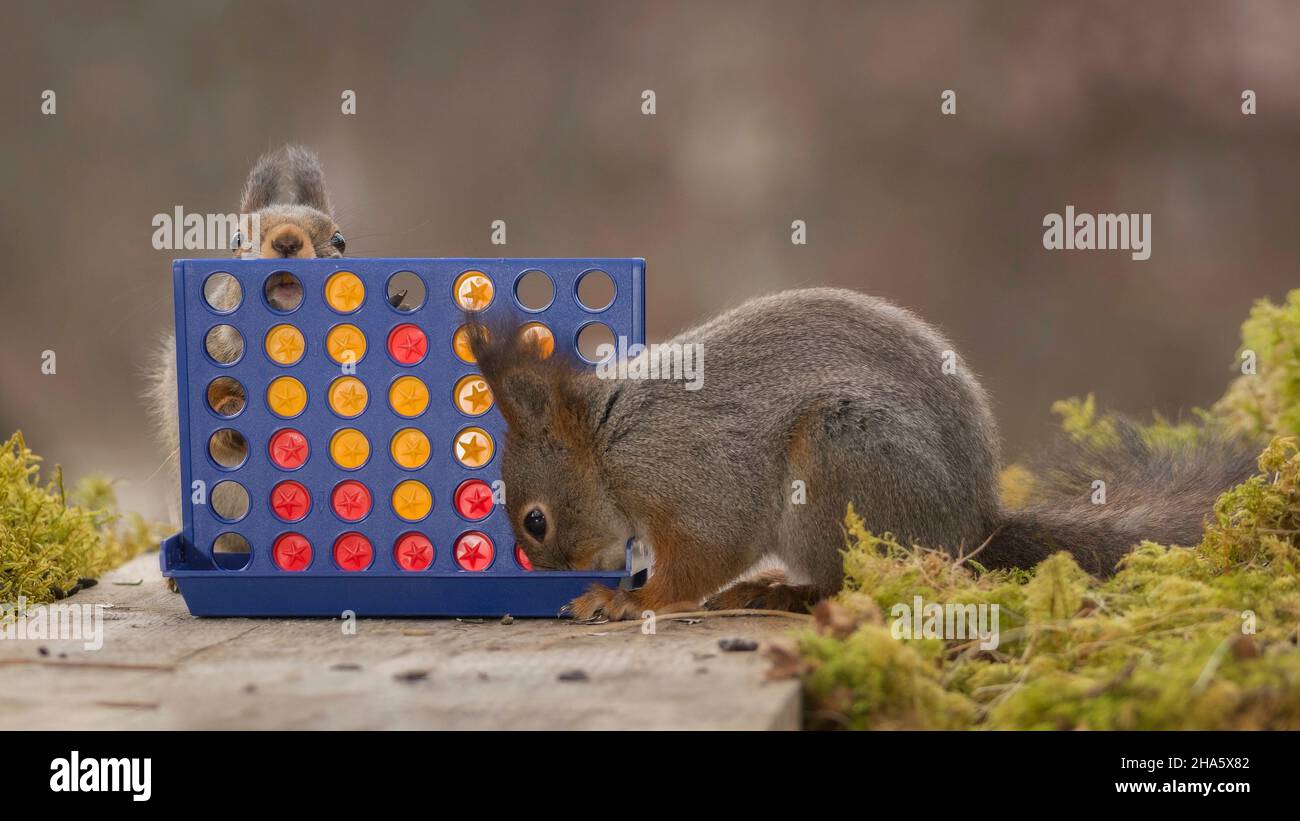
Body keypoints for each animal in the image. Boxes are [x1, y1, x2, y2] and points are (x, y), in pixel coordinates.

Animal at [470, 292, 1258, 618]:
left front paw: (625, 599)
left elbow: (708, 550)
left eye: (535, 521)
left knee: (852, 581)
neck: (608, 443)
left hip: (841, 460)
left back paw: (785, 591)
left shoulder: (687, 470)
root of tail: (973, 527)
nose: (551, 575)